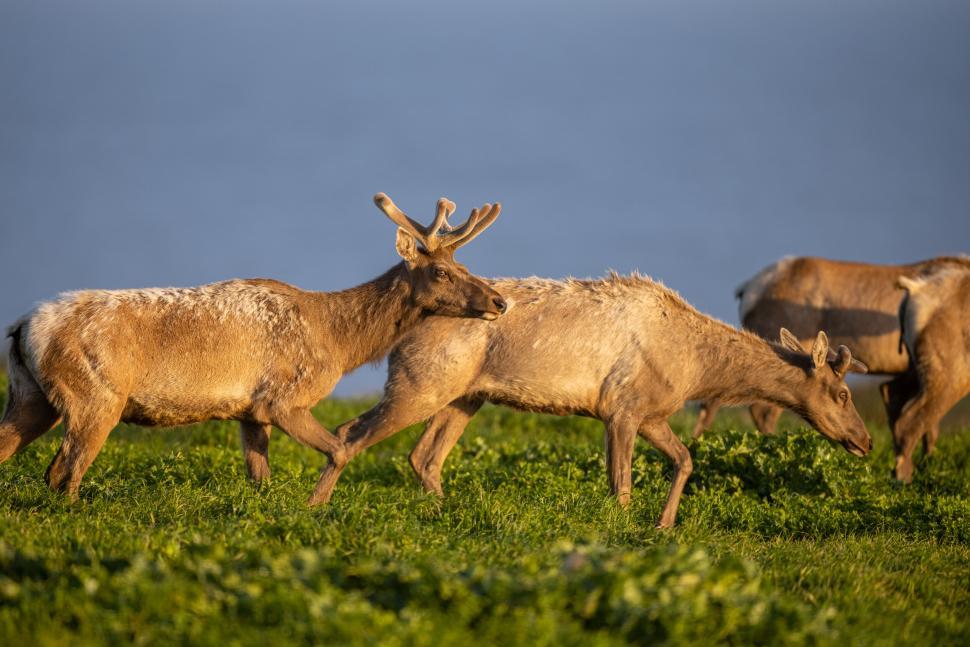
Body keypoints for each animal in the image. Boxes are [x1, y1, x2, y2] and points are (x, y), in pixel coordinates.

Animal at [0, 193, 507, 501]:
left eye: (465, 266)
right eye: (441, 272)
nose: (499, 301)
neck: (336, 342)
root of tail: (22, 326)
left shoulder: (250, 410)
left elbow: (260, 476)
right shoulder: (285, 397)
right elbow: (342, 448)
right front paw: (315, 505)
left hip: (31, 396)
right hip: (96, 396)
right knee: (64, 472)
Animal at [305, 272, 872, 528]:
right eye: (843, 392)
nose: (864, 441)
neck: (696, 371)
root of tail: (406, 327)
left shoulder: (653, 412)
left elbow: (686, 459)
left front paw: (665, 524)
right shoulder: (622, 408)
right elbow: (620, 482)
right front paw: (625, 528)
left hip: (464, 396)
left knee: (424, 456)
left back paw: (448, 511)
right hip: (420, 383)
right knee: (350, 433)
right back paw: (315, 505)